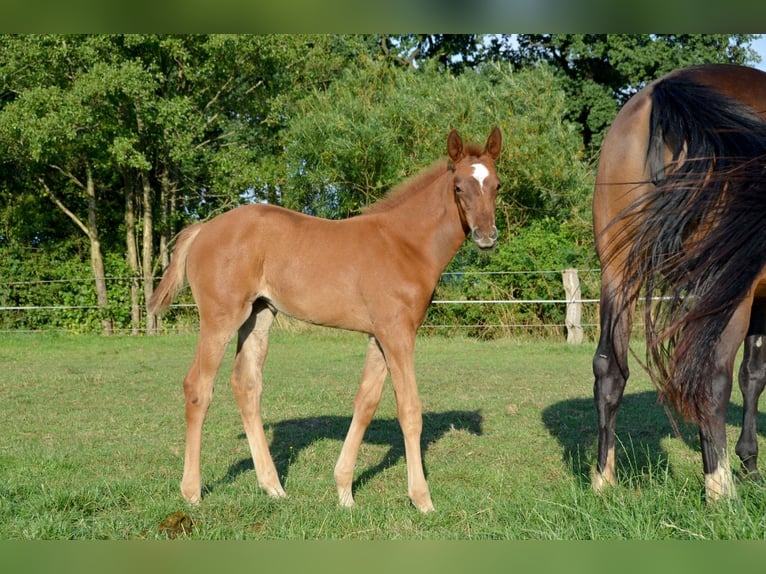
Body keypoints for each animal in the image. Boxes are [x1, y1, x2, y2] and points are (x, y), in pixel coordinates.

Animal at [148, 127, 504, 512]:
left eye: (497, 185)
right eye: (458, 186)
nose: (486, 236)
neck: (405, 244)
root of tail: (203, 230)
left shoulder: (380, 335)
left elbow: (365, 403)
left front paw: (344, 491)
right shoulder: (398, 334)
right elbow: (409, 410)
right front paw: (422, 499)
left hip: (258, 315)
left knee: (246, 385)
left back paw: (273, 487)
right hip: (220, 318)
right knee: (198, 387)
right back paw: (192, 492)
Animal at [596, 64, 766, 504]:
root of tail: (666, 94)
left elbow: (753, 375)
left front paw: (750, 464)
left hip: (617, 276)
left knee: (608, 369)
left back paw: (602, 480)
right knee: (712, 375)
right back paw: (719, 491)